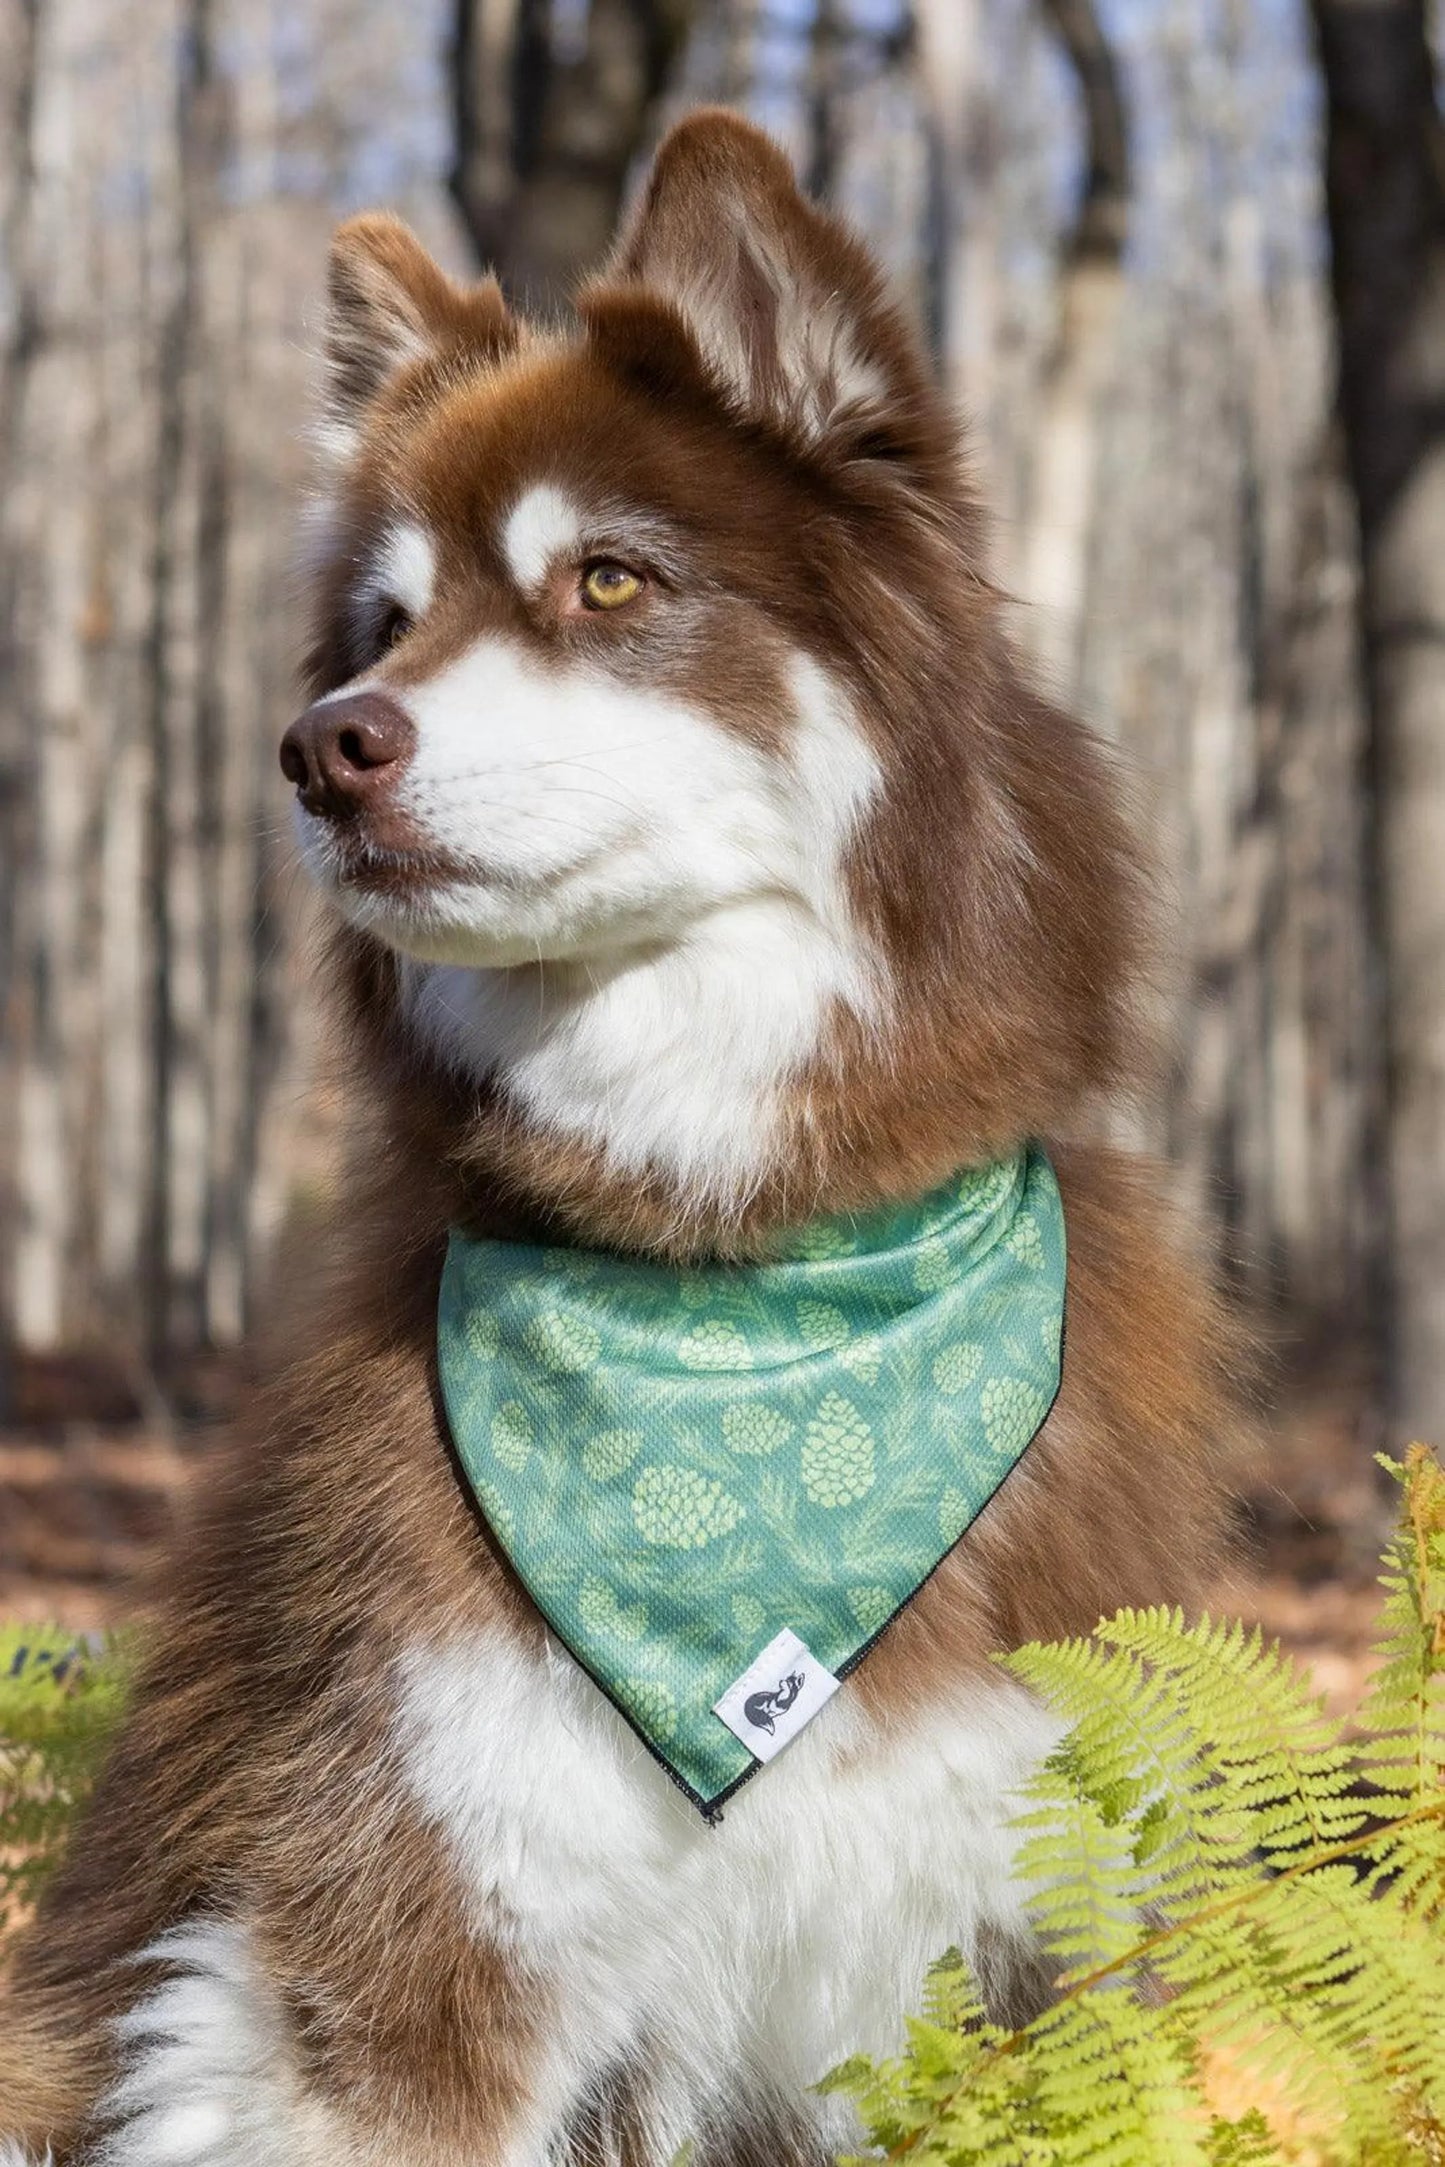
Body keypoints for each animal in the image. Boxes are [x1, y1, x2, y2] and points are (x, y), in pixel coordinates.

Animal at [2, 105, 1230, 2167]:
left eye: (608, 583)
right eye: (386, 623)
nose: (321, 746)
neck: (734, 1268)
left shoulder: (1009, 1942)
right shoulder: (405, 1945)